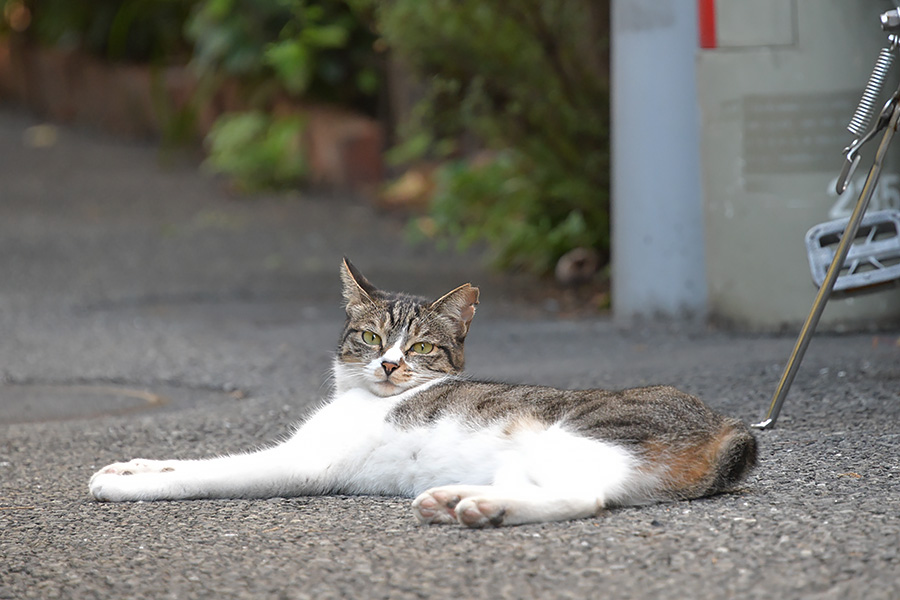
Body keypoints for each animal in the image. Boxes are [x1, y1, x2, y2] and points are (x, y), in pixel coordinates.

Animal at [89, 260, 752, 528]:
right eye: (371, 336)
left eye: (422, 347)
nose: (389, 364)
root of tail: (728, 425)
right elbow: (187, 458)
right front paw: (130, 464)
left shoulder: (301, 463)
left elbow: (206, 470)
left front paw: (125, 485)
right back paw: (457, 499)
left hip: (577, 436)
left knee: (585, 496)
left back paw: (481, 510)